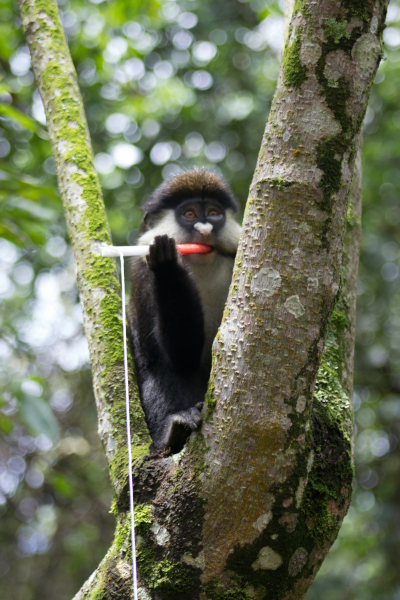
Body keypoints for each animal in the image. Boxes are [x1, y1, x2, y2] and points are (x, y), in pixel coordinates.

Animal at [128, 166, 241, 452]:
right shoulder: (142, 270)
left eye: (213, 213)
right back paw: (173, 431)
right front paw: (168, 263)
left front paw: (169, 264)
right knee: (160, 369)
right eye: (189, 214)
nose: (205, 230)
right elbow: (181, 357)